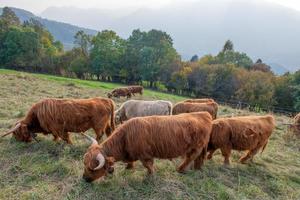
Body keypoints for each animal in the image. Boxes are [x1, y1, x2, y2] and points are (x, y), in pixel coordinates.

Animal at [81, 111, 213, 182]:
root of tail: (204, 113)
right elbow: (130, 163)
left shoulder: (145, 155)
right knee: (197, 158)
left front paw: (150, 176)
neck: (125, 137)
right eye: (84, 164)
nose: (84, 178)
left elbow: (148, 166)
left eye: (91, 169)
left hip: (196, 146)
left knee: (191, 157)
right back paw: (196, 168)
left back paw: (180, 169)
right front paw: (129, 167)